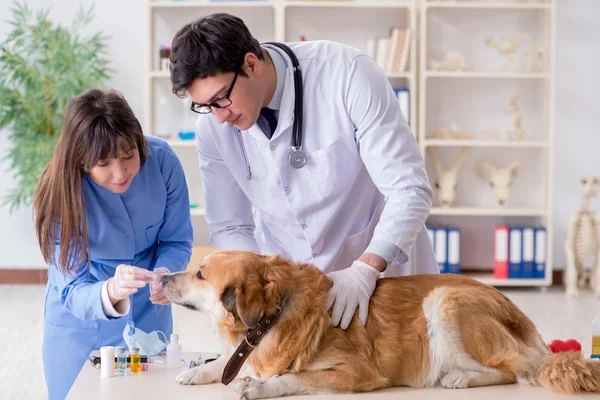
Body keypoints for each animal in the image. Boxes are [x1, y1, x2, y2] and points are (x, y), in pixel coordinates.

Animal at [161, 250, 600, 396]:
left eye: (200, 274)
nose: (163, 278)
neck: (276, 315)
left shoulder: (356, 373)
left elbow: (291, 378)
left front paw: (260, 387)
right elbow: (230, 361)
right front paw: (200, 370)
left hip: (444, 299)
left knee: (515, 370)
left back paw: (460, 377)